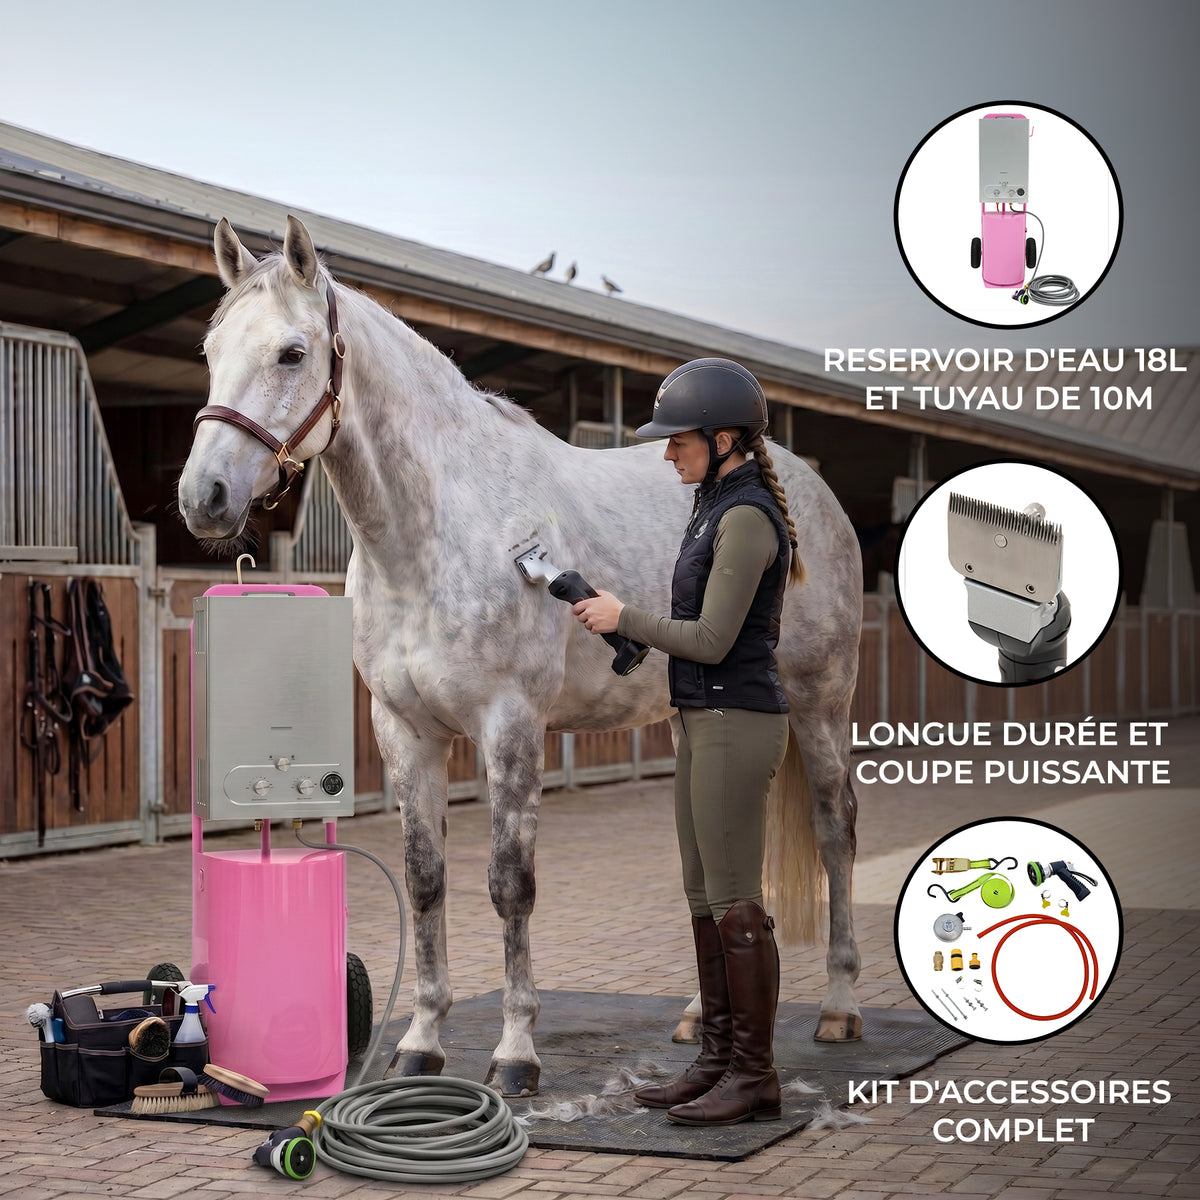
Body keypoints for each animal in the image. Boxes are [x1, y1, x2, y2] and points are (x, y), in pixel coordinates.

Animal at [178, 216, 865, 1097]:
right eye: (210, 348)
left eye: (293, 353)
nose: (203, 499)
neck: (435, 528)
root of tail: (808, 489)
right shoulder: (405, 730)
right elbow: (425, 881)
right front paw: (421, 1042)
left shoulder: (509, 725)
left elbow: (510, 885)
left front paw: (514, 1054)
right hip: (697, 721)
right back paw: (691, 1016)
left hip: (819, 702)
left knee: (835, 828)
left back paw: (840, 1007)